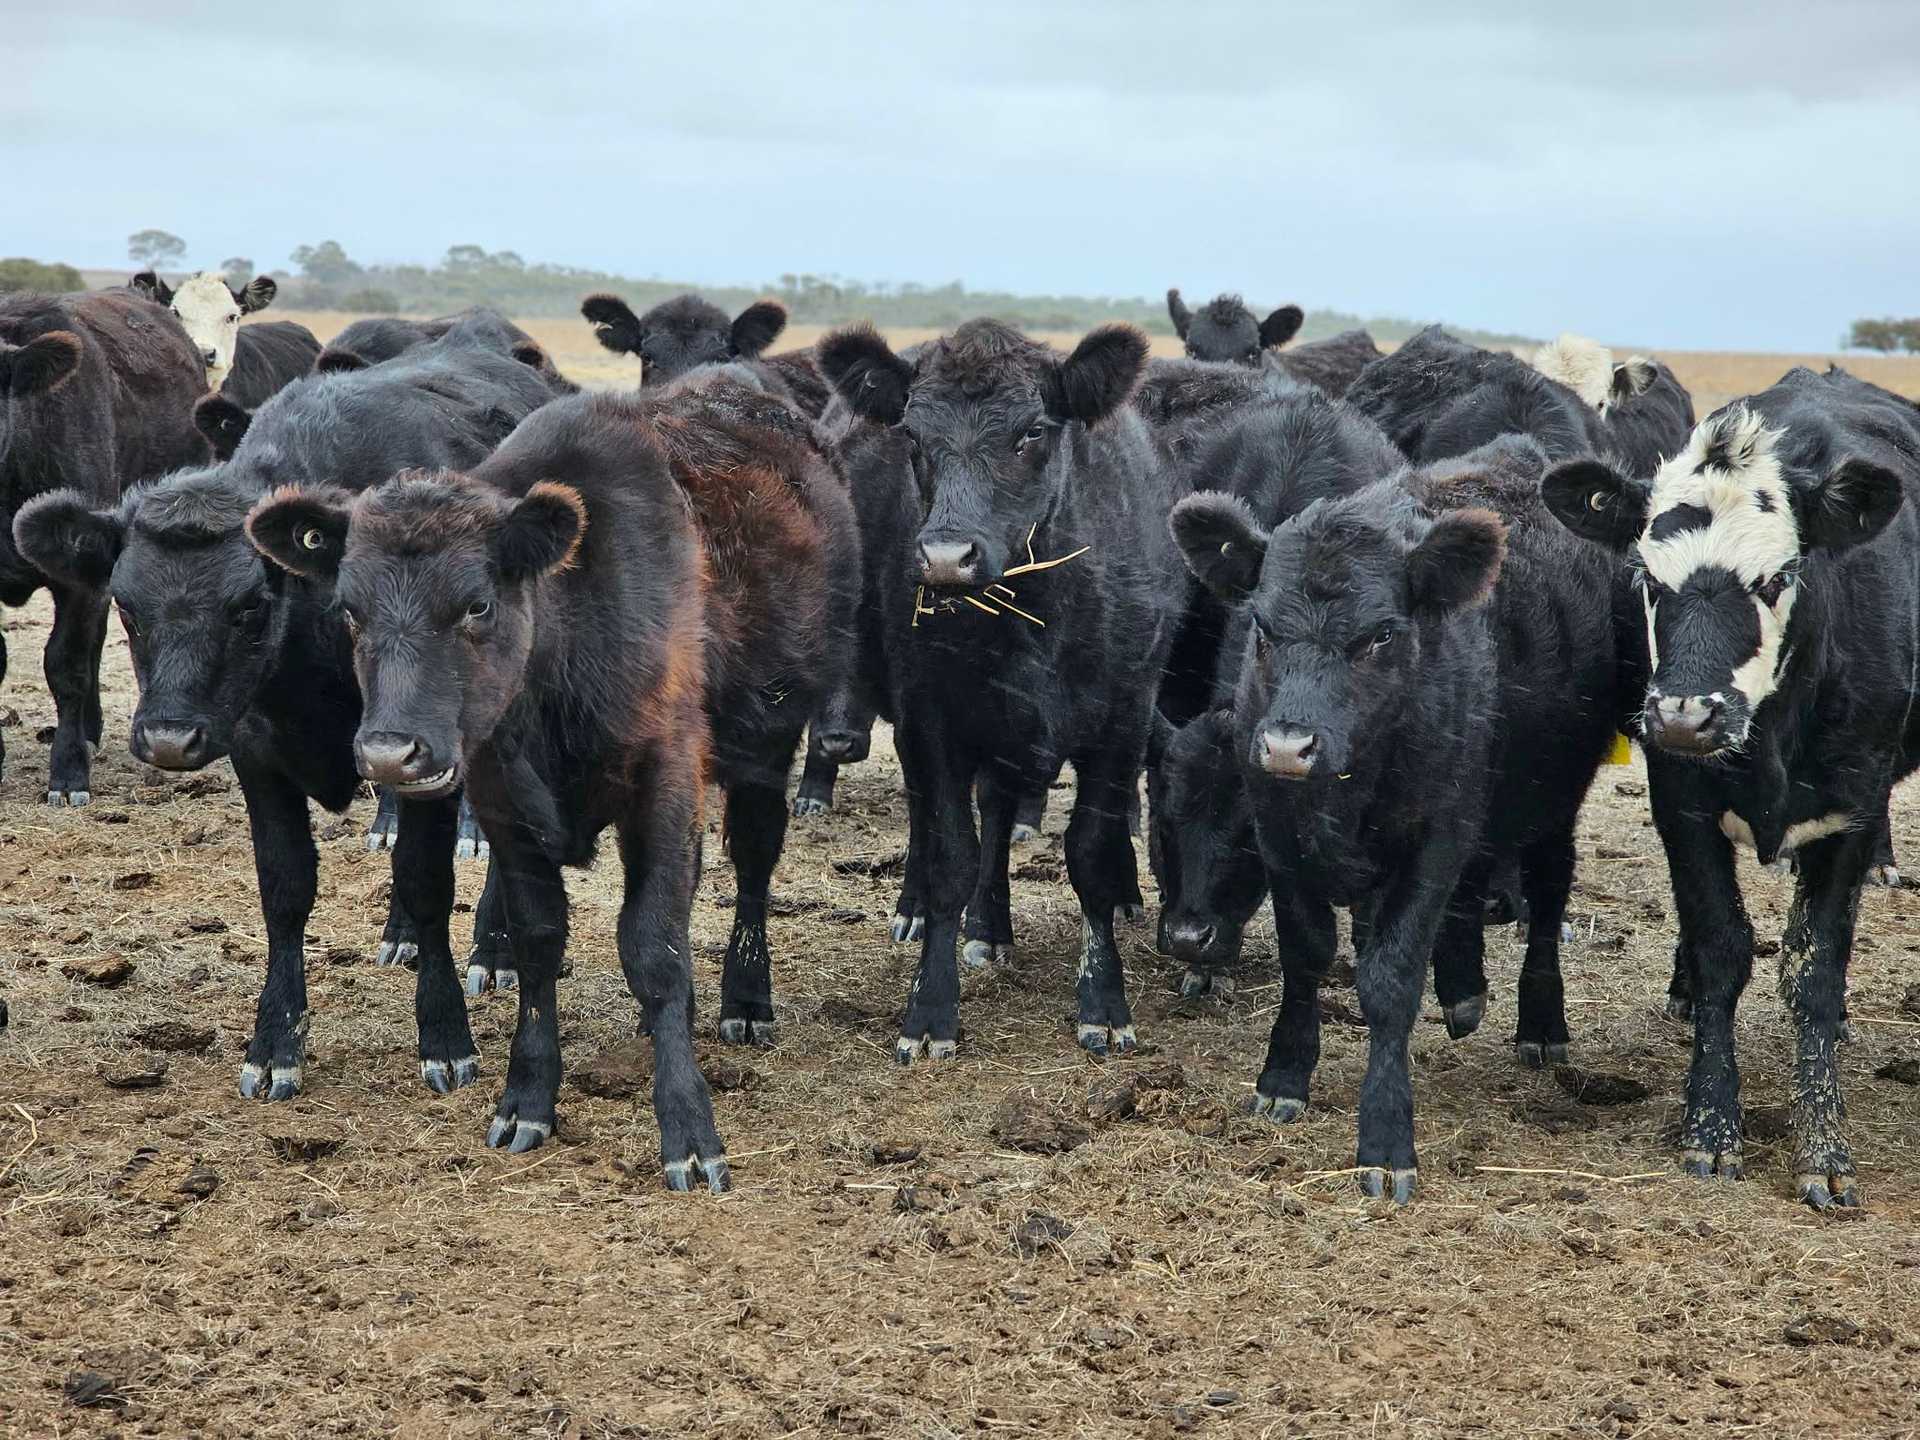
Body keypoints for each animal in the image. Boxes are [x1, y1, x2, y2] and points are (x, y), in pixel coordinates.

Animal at [13, 317, 563, 1106]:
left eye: (248, 607)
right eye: (128, 606)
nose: (169, 738)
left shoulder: (426, 756)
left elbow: (427, 880)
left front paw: (445, 1035)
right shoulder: (258, 757)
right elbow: (286, 889)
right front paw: (275, 1042)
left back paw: (495, 949)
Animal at [245, 374, 858, 1182]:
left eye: (477, 602)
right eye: (349, 609)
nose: (386, 755)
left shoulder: (666, 781)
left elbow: (655, 947)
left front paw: (689, 1128)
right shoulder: (503, 802)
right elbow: (539, 941)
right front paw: (527, 1097)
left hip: (769, 741)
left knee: (754, 865)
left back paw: (745, 1000)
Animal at [816, 318, 1180, 1059]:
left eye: (1032, 431)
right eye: (913, 435)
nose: (944, 558)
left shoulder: (1124, 720)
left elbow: (1090, 854)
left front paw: (1104, 1004)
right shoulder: (932, 720)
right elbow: (952, 853)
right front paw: (931, 1009)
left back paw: (995, 926)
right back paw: (930, 915)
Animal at [1171, 431, 1620, 1203]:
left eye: (1380, 636)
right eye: (1263, 627)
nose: (1286, 745)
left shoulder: (1433, 842)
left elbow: (1390, 980)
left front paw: (1384, 1138)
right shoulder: (1282, 839)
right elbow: (1307, 954)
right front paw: (1284, 1075)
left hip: (1552, 801)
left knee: (1548, 893)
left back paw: (1540, 1021)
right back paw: (1464, 991)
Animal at [1541, 366, 1920, 1208]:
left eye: (1778, 578)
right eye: (1648, 578)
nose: (1685, 715)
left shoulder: (1847, 818)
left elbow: (1813, 970)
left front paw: (1823, 1146)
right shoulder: (1682, 808)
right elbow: (1721, 949)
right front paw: (1710, 1128)